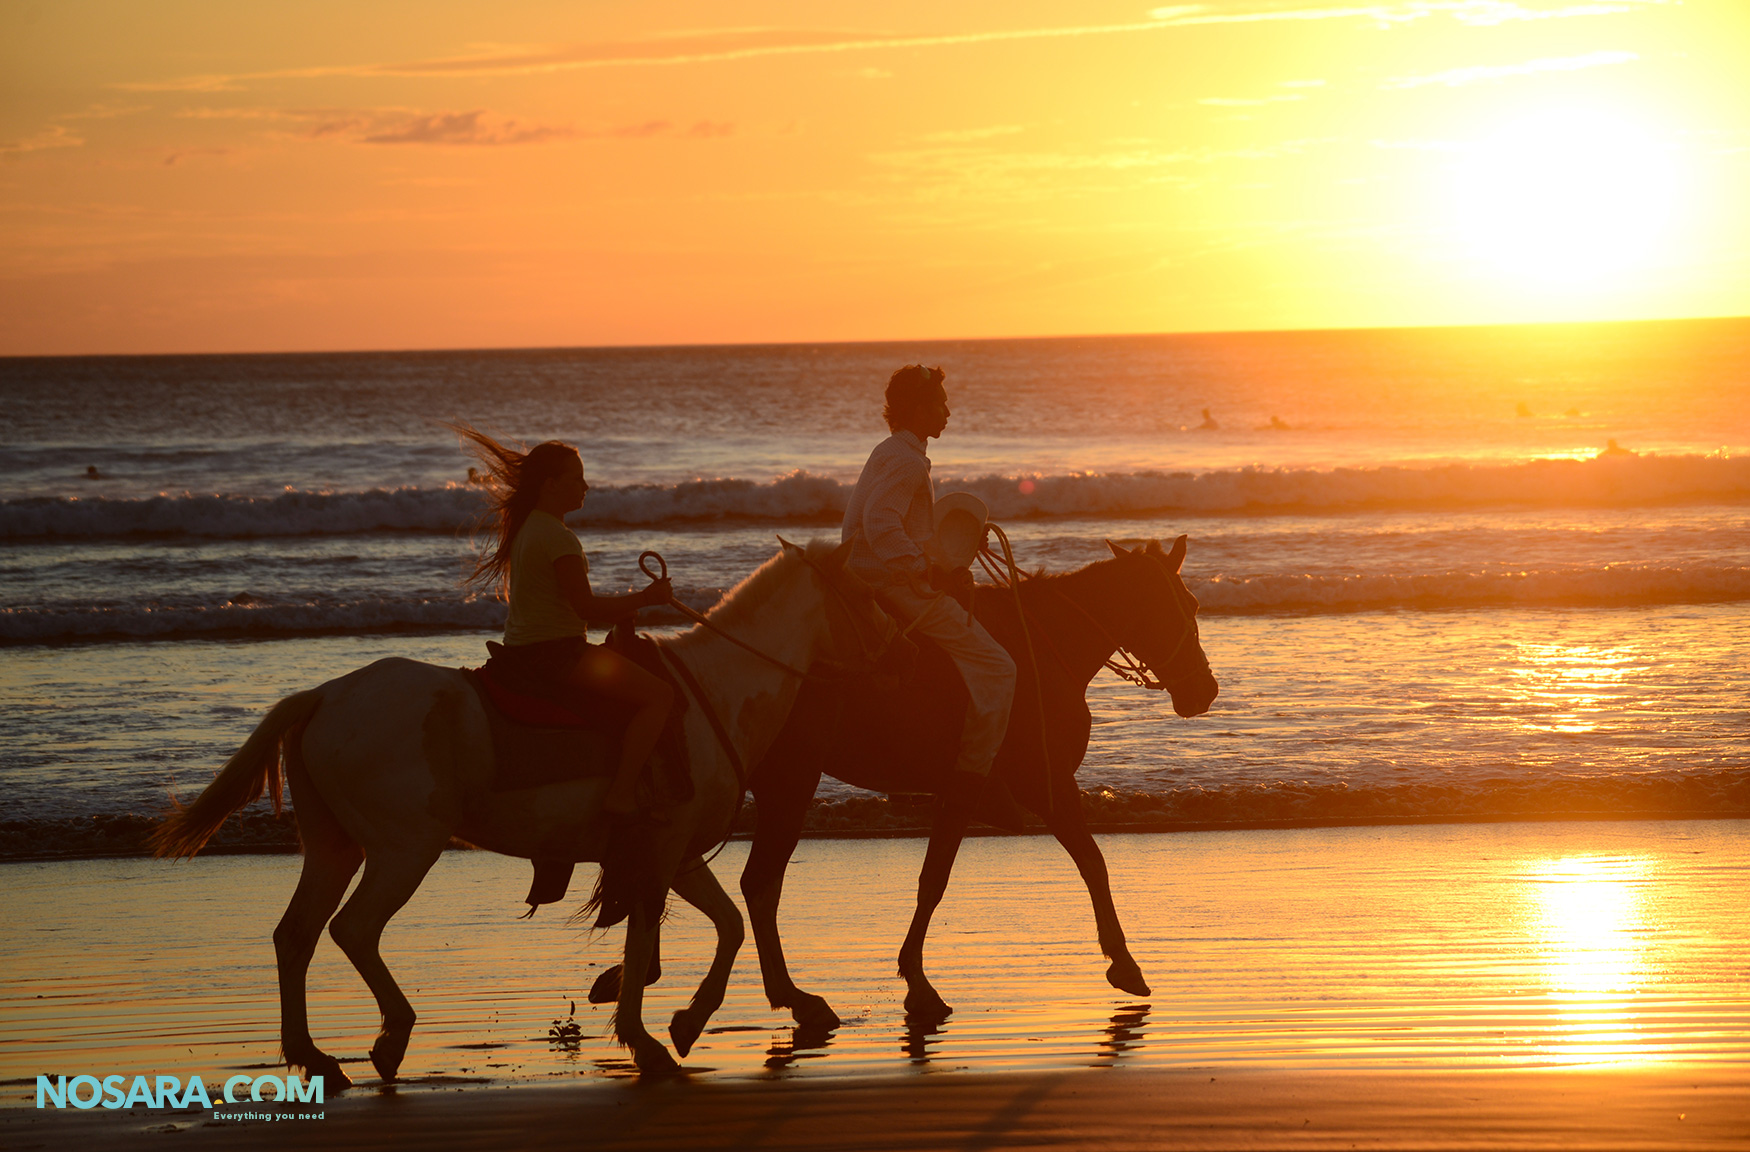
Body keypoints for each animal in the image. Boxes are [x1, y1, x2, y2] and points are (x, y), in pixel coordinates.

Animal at [148, 539, 889, 1078]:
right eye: (860, 594)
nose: (884, 650)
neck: (716, 693)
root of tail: (325, 696)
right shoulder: (658, 852)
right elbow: (651, 939)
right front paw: (649, 1036)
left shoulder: (674, 855)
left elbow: (727, 925)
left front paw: (685, 1022)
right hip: (402, 849)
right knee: (353, 930)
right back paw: (389, 1039)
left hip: (333, 847)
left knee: (295, 935)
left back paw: (315, 1056)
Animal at [738, 532, 1218, 1029]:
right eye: (1188, 605)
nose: (1205, 690)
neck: (1044, 645)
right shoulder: (1041, 783)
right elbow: (1089, 862)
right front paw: (1123, 962)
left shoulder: (966, 789)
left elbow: (934, 878)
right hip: (792, 779)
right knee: (760, 882)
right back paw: (796, 997)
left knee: (757, 883)